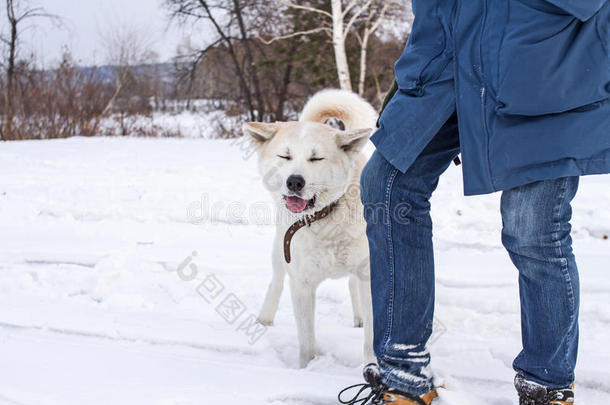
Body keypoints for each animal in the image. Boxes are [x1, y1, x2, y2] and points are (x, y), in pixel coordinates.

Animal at [242, 88, 376, 366]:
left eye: (316, 158)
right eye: (285, 156)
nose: (295, 181)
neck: (324, 219)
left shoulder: (369, 273)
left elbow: (371, 337)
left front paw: (372, 368)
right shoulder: (301, 284)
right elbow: (306, 341)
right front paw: (306, 368)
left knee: (352, 286)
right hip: (279, 252)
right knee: (276, 282)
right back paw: (264, 319)